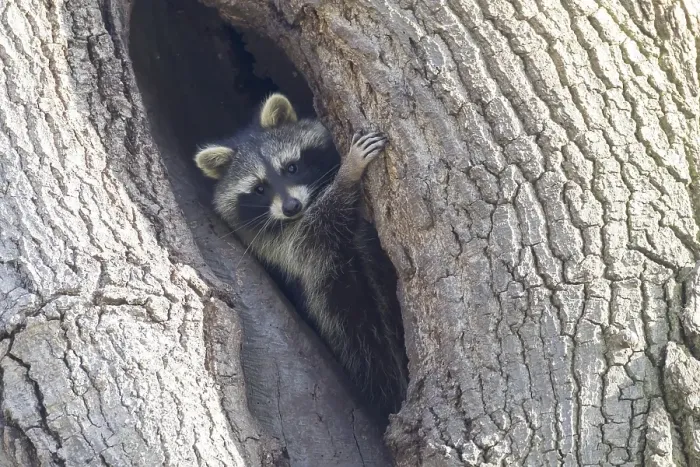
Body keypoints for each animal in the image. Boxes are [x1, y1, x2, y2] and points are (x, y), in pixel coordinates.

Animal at [194, 93, 408, 419]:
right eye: (259, 188)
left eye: (291, 168)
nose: (291, 207)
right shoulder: (281, 245)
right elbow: (315, 230)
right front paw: (348, 174)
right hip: (334, 295)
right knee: (362, 343)